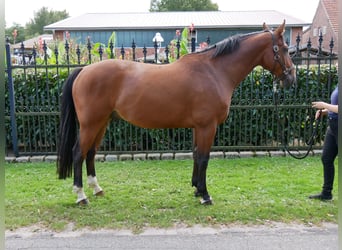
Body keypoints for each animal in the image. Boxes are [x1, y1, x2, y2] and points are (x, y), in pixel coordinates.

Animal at [57, 21, 296, 205]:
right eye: (284, 49)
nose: (291, 78)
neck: (214, 71)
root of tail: (84, 70)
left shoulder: (199, 127)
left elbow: (196, 155)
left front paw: (197, 189)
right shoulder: (207, 126)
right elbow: (204, 158)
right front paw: (205, 195)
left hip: (102, 123)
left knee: (90, 153)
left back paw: (96, 189)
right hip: (90, 124)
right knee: (78, 152)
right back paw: (81, 196)